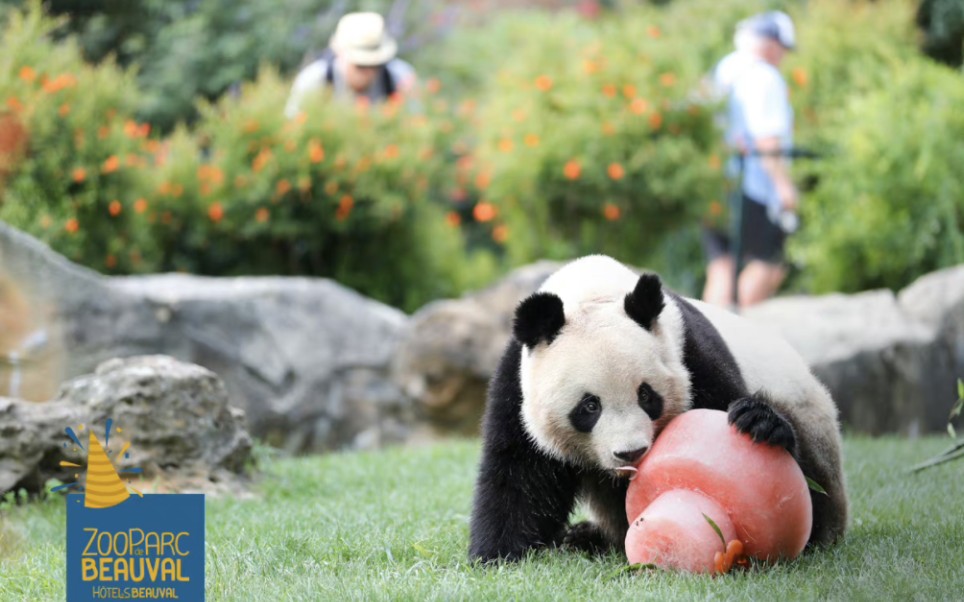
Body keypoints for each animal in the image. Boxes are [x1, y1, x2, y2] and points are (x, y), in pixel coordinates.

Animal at [470, 254, 848, 564]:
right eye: (589, 406)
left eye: (646, 396)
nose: (630, 452)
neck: (593, 293)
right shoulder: (517, 385)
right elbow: (519, 475)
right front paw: (498, 555)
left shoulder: (692, 357)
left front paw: (760, 424)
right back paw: (582, 537)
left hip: (806, 408)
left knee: (819, 483)